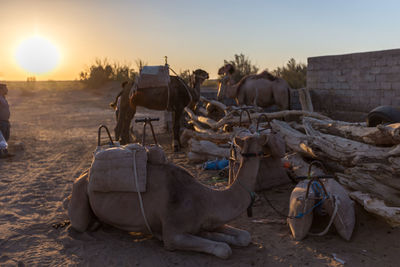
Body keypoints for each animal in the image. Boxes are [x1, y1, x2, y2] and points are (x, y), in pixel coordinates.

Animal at [66, 134, 282, 260]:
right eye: (264, 138)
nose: (278, 146)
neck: (206, 199)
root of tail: (84, 175)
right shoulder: (173, 233)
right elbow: (223, 249)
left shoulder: (208, 220)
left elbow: (244, 236)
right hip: (79, 195)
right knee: (76, 226)